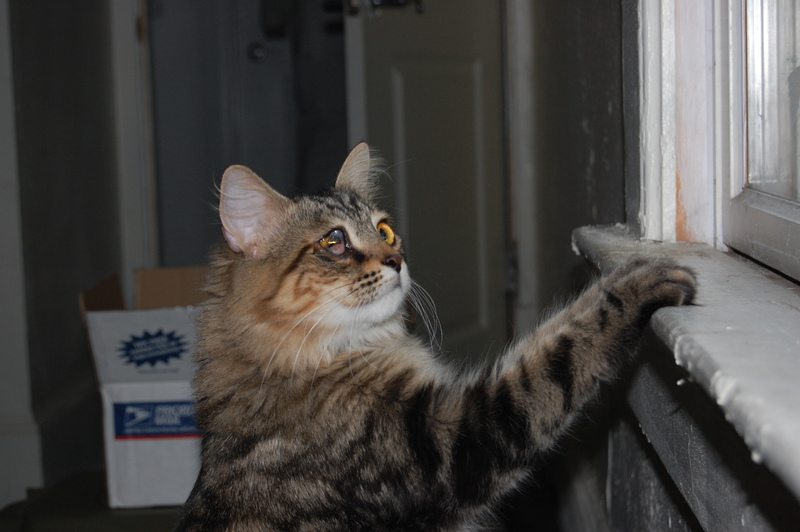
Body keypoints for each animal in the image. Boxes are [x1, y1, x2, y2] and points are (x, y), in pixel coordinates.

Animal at [175, 142, 692, 532]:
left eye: (385, 230)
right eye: (334, 243)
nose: (396, 261)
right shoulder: (455, 440)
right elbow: (557, 352)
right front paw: (638, 278)